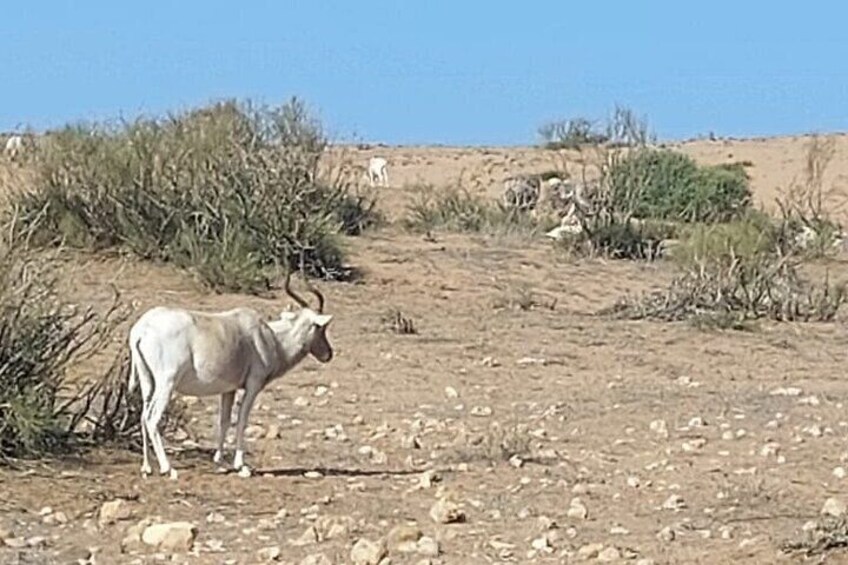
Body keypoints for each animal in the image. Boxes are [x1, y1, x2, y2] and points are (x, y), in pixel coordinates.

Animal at [129, 270, 334, 478]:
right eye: (321, 327)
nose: (328, 354)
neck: (269, 337)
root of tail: (142, 329)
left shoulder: (229, 389)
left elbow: (224, 421)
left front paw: (219, 461)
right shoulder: (253, 385)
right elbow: (242, 419)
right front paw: (240, 465)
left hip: (147, 381)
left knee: (143, 415)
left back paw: (146, 467)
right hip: (166, 384)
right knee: (152, 418)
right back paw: (168, 468)